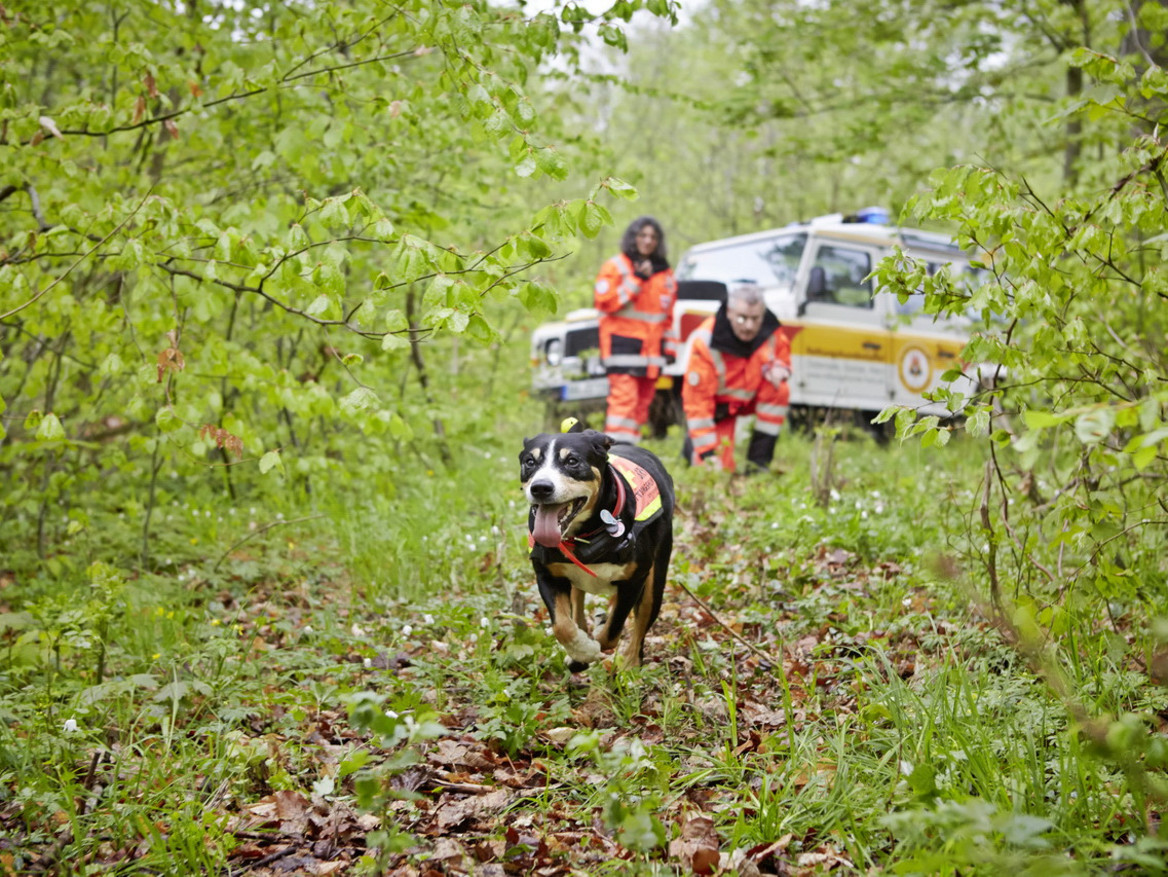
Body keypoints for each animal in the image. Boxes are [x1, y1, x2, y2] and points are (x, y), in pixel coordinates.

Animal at [520, 425, 677, 672]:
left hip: (655, 579)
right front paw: (581, 652)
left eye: (572, 461)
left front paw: (590, 650)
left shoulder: (633, 580)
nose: (541, 487)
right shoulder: (547, 574)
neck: (584, 535)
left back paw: (630, 663)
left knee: (641, 622)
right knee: (577, 605)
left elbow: (611, 633)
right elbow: (562, 626)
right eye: (530, 462)